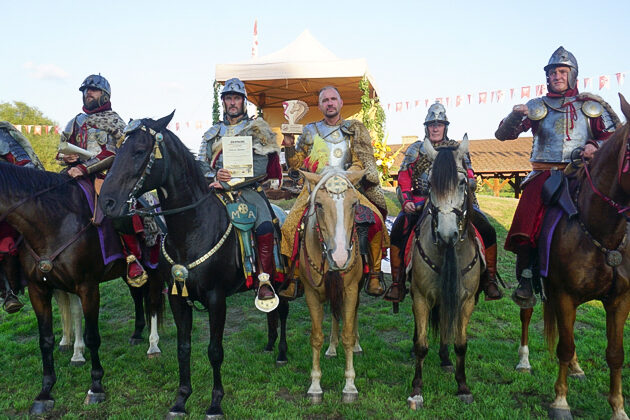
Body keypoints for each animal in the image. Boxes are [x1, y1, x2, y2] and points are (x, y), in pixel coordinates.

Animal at [0, 162, 165, 416]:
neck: (53, 223)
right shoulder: (39, 290)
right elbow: (45, 339)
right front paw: (45, 391)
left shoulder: (88, 288)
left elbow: (92, 336)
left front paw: (96, 387)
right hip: (130, 273)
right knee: (138, 296)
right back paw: (137, 334)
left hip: (154, 268)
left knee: (154, 303)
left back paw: (153, 345)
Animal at [99, 113, 292, 418]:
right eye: (117, 152)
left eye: (139, 151)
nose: (107, 202)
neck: (193, 228)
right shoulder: (178, 297)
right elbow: (183, 347)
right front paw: (181, 399)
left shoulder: (216, 298)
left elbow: (215, 350)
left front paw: (215, 402)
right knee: (269, 308)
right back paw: (270, 343)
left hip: (281, 278)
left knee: (282, 311)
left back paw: (282, 352)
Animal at [300, 168, 368, 404]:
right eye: (319, 205)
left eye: (354, 204)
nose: (339, 258)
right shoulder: (311, 293)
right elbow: (316, 337)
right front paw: (314, 387)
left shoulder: (350, 290)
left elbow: (347, 335)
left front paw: (350, 386)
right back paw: (331, 348)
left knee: (352, 315)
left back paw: (357, 345)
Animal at [408, 135, 482, 410]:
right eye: (430, 184)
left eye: (462, 183)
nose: (447, 234)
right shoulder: (420, 298)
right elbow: (421, 345)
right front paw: (417, 389)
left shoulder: (466, 300)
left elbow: (460, 343)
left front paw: (462, 387)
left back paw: (445, 358)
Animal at [544, 94, 630, 420]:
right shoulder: (563, 294)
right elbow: (564, 346)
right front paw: (560, 402)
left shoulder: (620, 300)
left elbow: (615, 354)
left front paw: (618, 407)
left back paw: (577, 367)